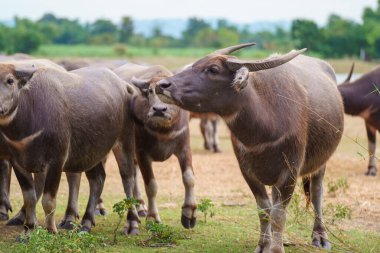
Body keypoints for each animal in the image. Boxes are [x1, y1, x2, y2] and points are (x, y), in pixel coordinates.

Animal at [155, 42, 344, 252]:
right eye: (195, 63)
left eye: (213, 69)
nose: (162, 85)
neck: (264, 130)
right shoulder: (247, 171)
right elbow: (264, 209)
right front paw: (263, 245)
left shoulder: (290, 171)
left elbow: (279, 213)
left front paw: (276, 248)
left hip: (321, 162)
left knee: (317, 192)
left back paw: (320, 237)